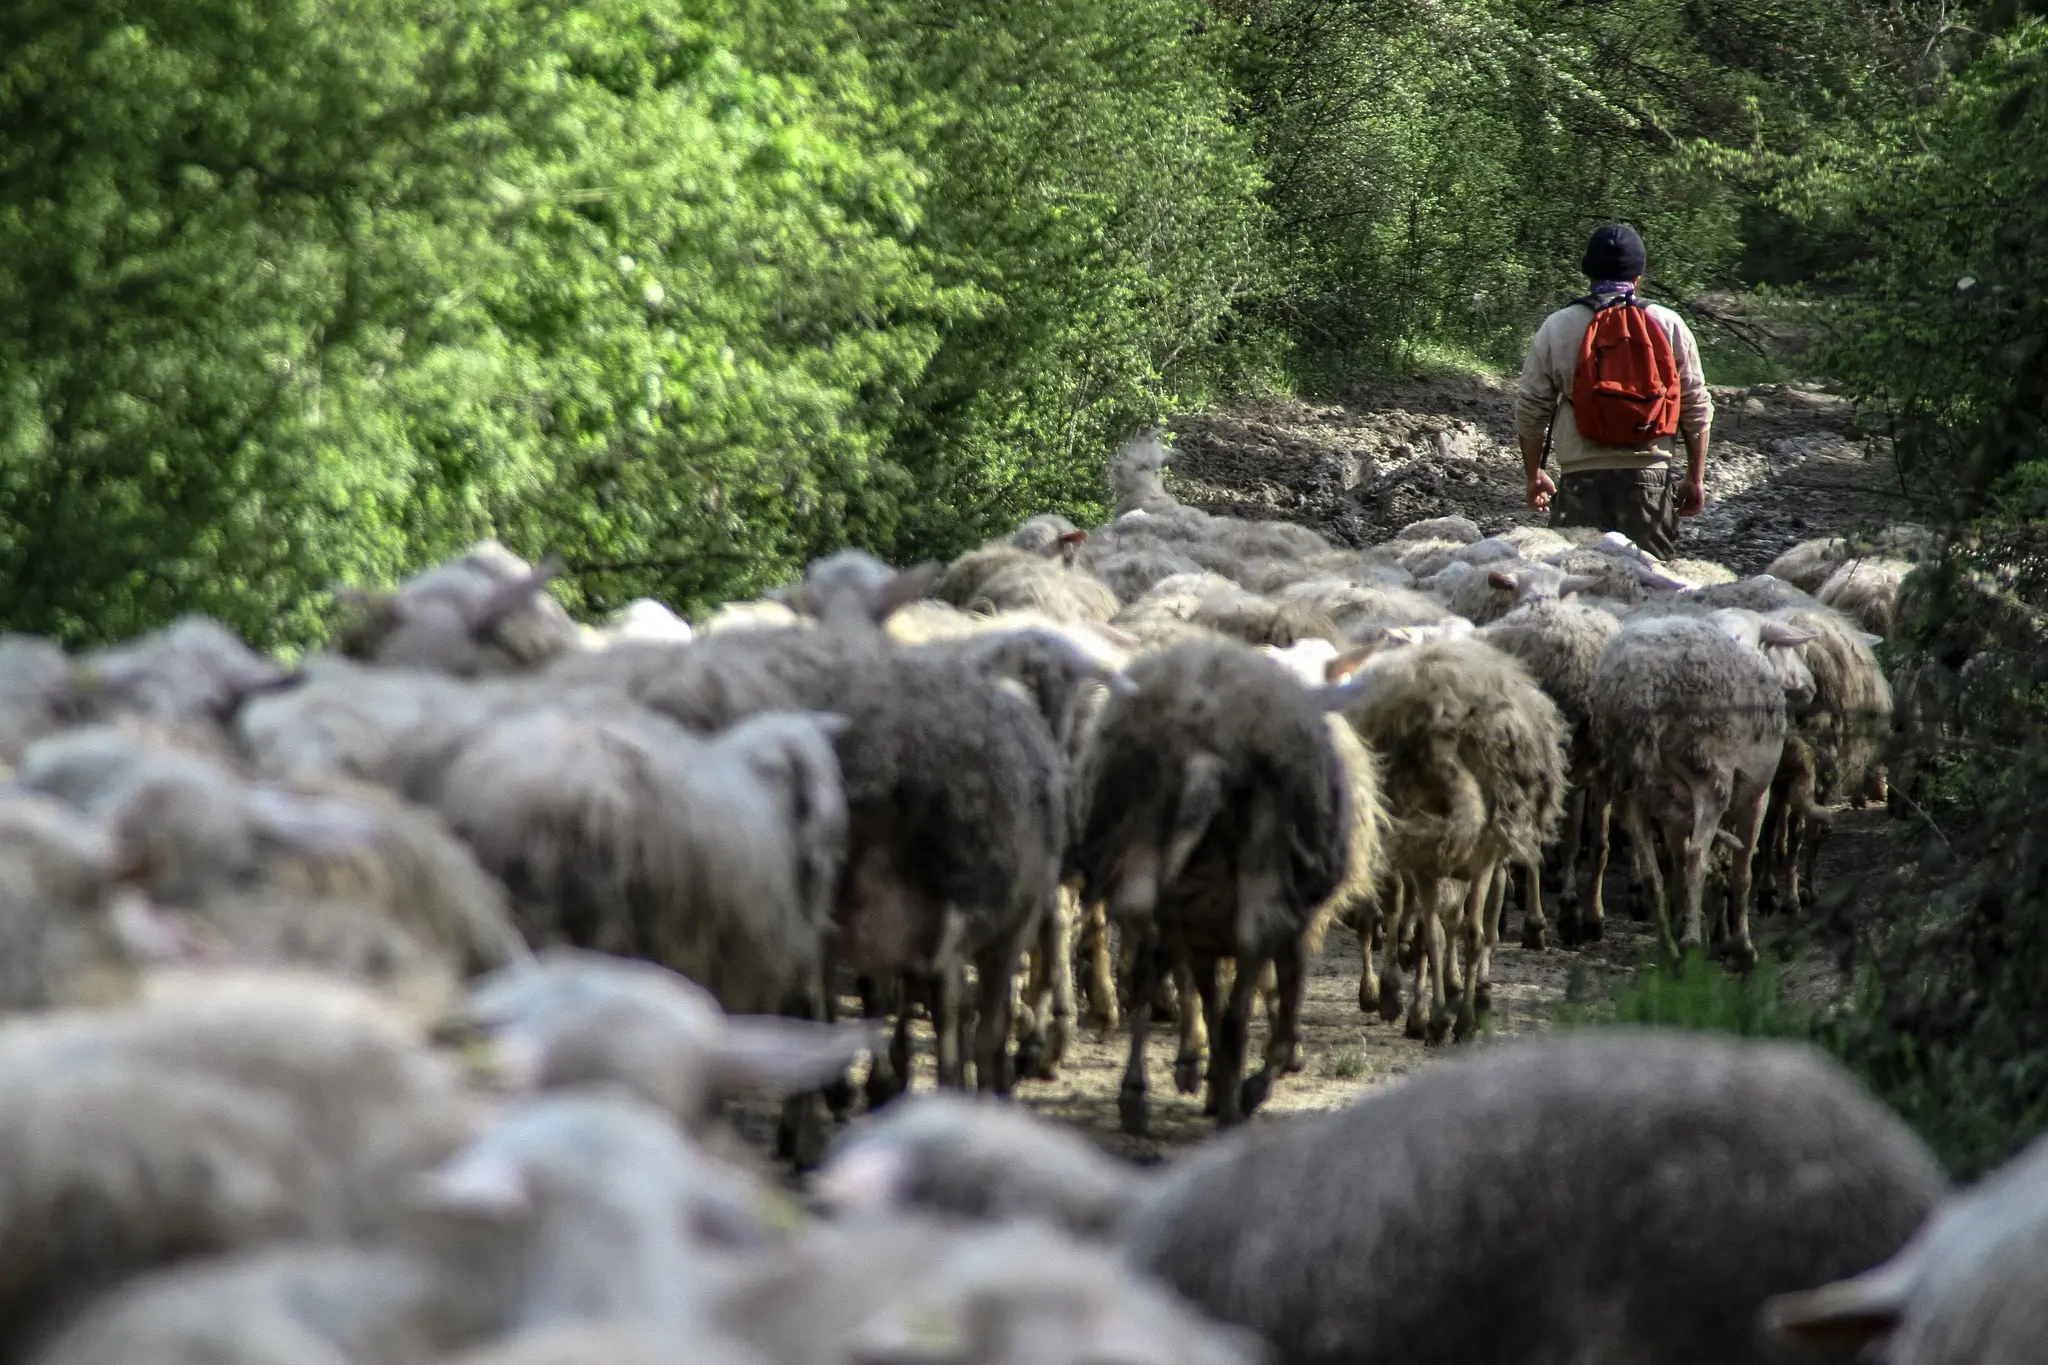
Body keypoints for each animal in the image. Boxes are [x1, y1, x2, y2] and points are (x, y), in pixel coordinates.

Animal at [1071, 637, 1351, 1133]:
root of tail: (1209, 759)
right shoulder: (1286, 927)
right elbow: (1283, 996)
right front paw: (1256, 1078)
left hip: (1164, 880)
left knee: (1172, 983)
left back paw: (1161, 1095)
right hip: (1245, 896)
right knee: (1227, 1006)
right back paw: (1228, 1105)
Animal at [1330, 637, 1565, 1039]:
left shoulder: (1482, 863)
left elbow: (1473, 935)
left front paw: (1464, 1019)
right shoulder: (1423, 867)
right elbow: (1432, 936)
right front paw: (1432, 1017)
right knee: (1411, 919)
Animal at [1588, 607, 1817, 962]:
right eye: (1780, 648)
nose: (1811, 688)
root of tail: (1644, 688)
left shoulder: (1673, 810)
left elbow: (1679, 862)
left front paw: (1694, 922)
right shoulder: (1757, 794)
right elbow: (1741, 870)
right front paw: (1741, 944)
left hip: (1629, 785)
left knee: (1654, 871)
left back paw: (1669, 947)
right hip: (1709, 776)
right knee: (1698, 856)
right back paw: (1690, 945)